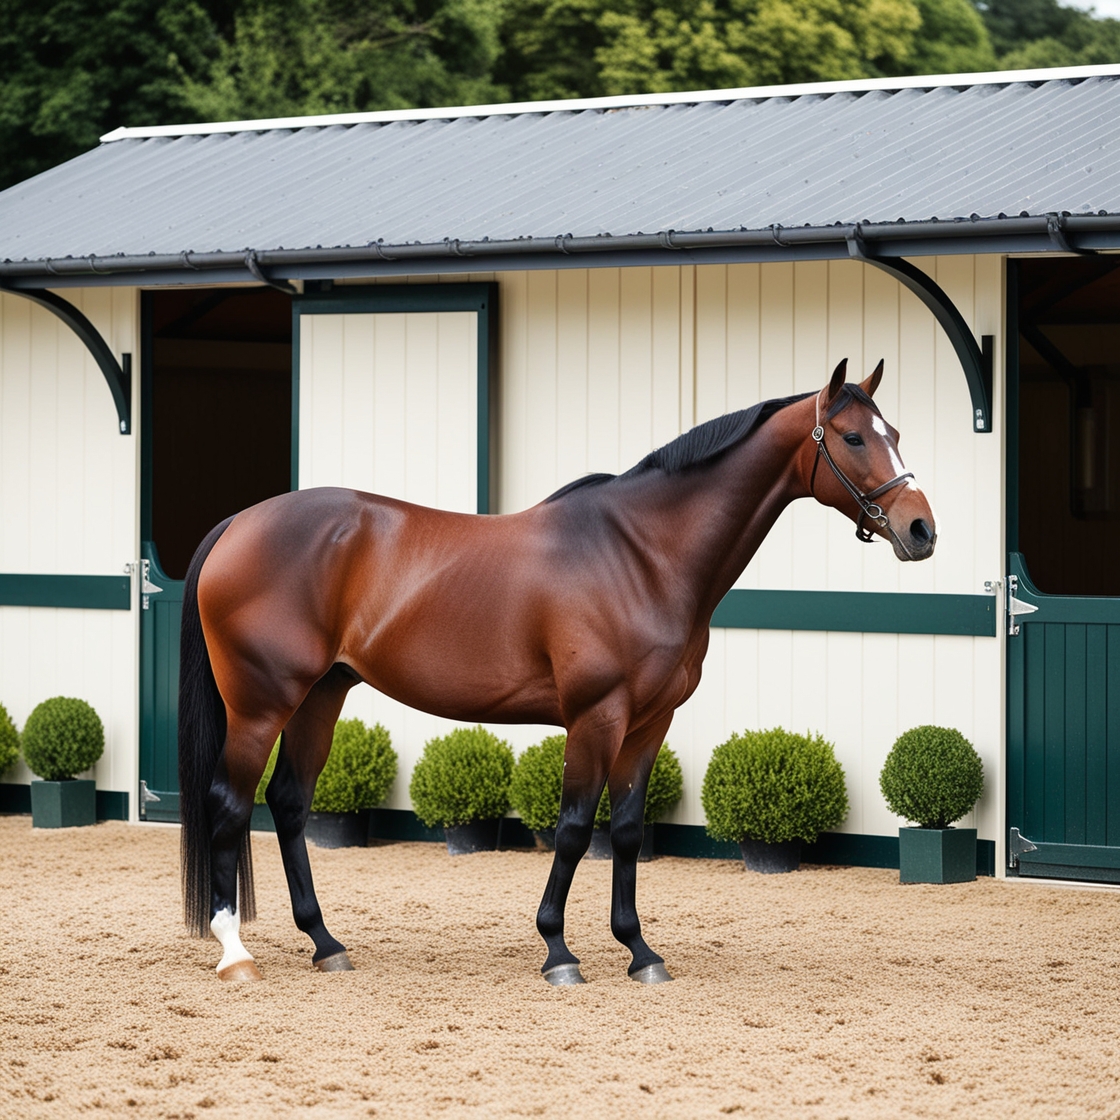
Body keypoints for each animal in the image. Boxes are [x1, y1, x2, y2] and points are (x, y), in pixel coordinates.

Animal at [177, 357, 936, 985]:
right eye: (853, 438)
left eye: (895, 430)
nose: (921, 530)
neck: (642, 554)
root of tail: (238, 525)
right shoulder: (596, 717)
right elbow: (574, 828)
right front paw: (558, 952)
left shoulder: (649, 723)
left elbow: (624, 831)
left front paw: (640, 953)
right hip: (261, 705)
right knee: (230, 803)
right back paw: (236, 953)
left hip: (320, 695)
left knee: (289, 803)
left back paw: (326, 944)